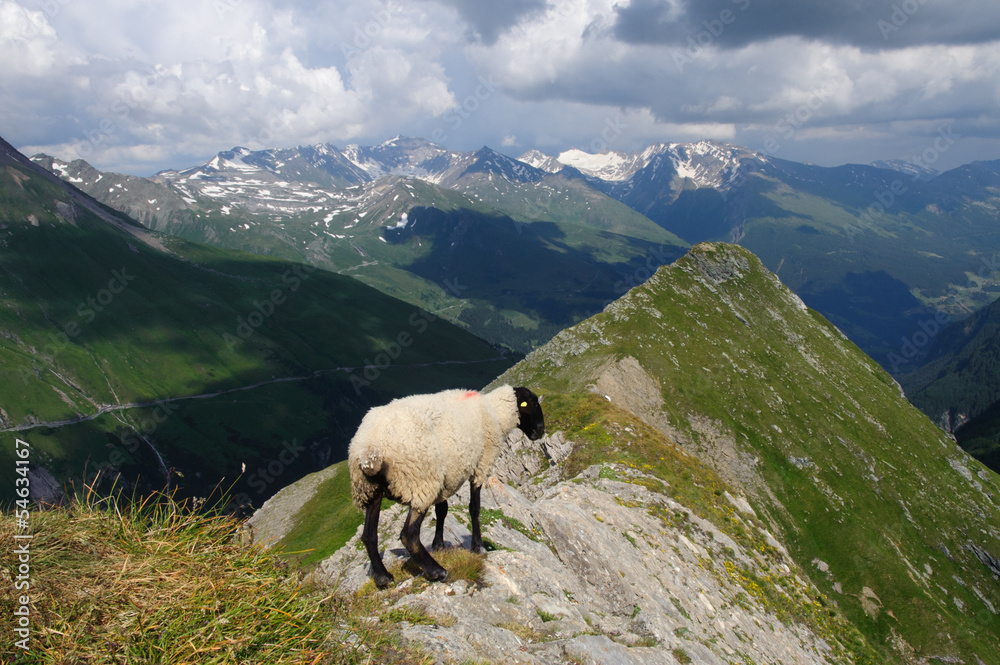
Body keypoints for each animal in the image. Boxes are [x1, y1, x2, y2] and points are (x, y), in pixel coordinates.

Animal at [348, 385, 545, 588]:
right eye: (533, 403)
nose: (541, 430)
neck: (495, 412)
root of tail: (370, 452)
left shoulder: (445, 480)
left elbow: (442, 511)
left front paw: (439, 545)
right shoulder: (480, 465)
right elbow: (475, 508)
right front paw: (478, 547)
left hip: (370, 489)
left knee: (369, 535)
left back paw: (383, 577)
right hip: (421, 481)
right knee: (408, 535)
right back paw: (437, 571)